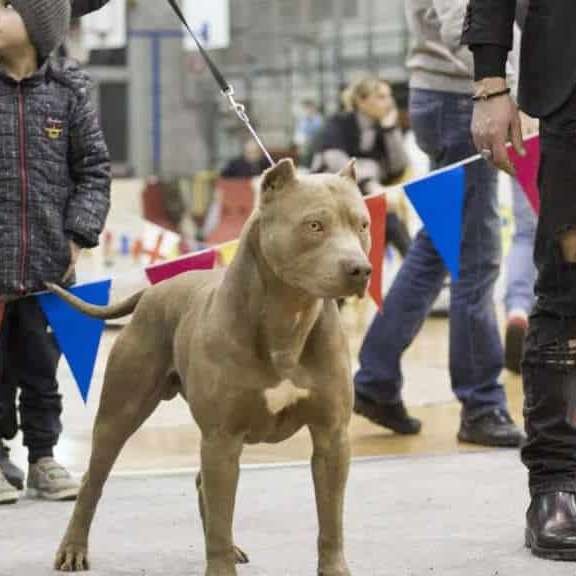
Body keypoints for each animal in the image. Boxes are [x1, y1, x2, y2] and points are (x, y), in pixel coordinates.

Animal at [51, 159, 372, 576]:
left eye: (362, 224)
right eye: (315, 225)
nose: (360, 269)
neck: (288, 317)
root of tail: (151, 290)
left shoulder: (331, 437)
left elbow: (330, 520)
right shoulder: (222, 437)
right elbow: (222, 514)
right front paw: (219, 565)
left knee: (207, 489)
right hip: (120, 413)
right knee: (94, 478)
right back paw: (73, 548)